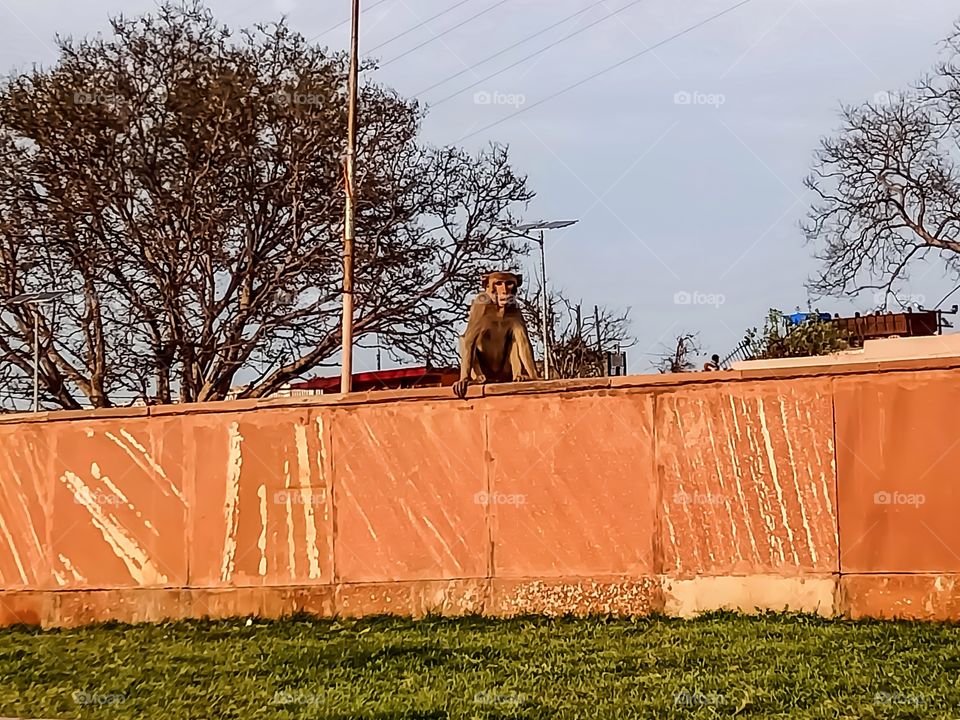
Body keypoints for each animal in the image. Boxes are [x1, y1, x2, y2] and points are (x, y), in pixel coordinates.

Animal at [453, 270, 540, 399]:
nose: (505, 291)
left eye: (509, 283)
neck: (499, 308)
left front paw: (535, 377)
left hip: (505, 371)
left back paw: (519, 376)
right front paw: (464, 380)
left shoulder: (514, 308)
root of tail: (497, 378)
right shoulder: (481, 304)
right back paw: (479, 379)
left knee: (514, 340)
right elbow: (468, 339)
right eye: (498, 283)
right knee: (463, 340)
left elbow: (523, 341)